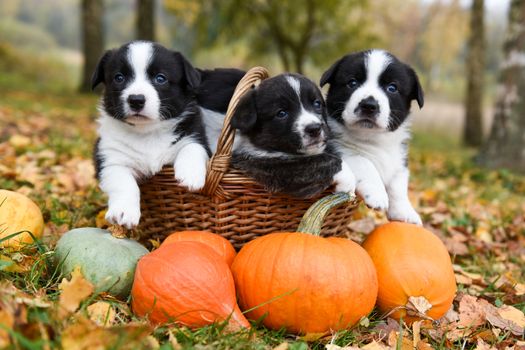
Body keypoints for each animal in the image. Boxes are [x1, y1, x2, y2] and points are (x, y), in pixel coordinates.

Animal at [93, 41, 210, 228]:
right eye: (119, 78)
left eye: (160, 78)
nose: (136, 100)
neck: (147, 132)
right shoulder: (109, 157)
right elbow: (124, 182)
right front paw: (123, 212)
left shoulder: (196, 134)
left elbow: (192, 147)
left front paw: (190, 175)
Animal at [320, 49, 422, 224]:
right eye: (352, 83)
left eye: (392, 88)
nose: (369, 105)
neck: (373, 139)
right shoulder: (336, 146)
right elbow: (364, 162)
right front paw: (377, 194)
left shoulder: (399, 157)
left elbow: (399, 182)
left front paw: (404, 212)